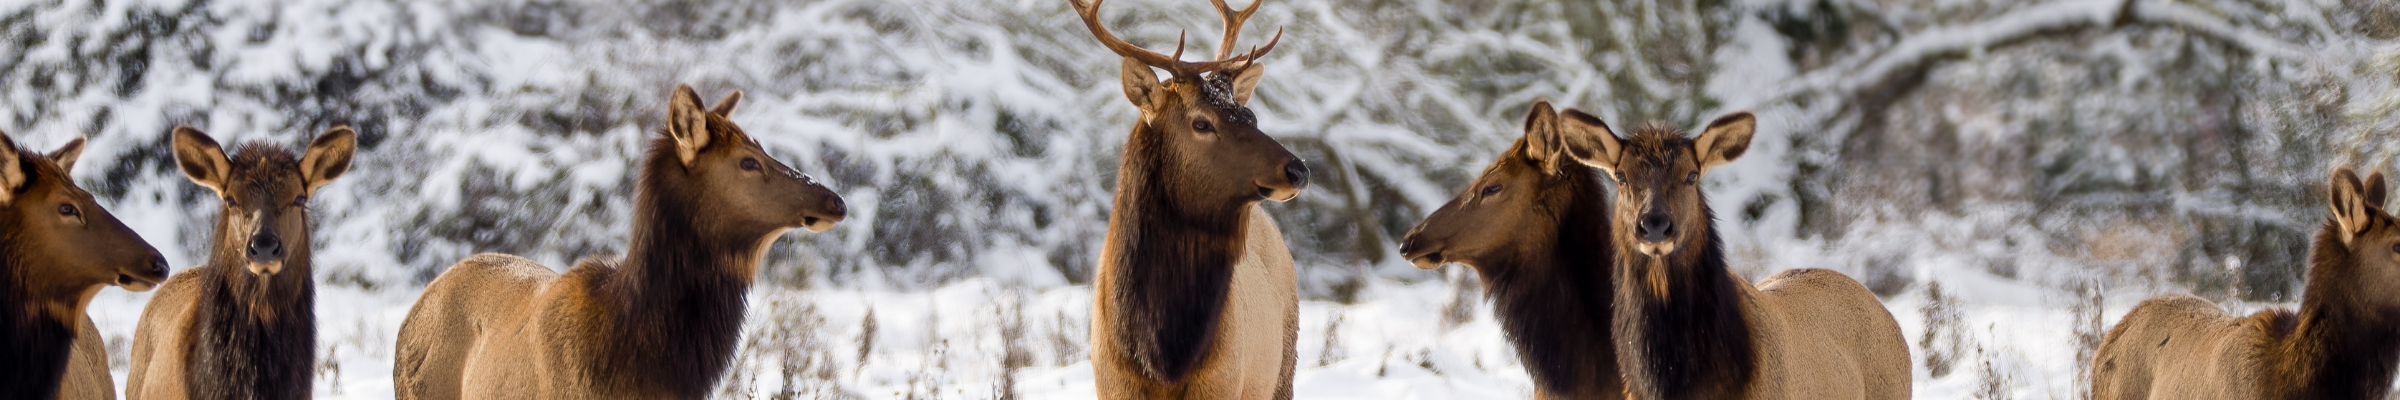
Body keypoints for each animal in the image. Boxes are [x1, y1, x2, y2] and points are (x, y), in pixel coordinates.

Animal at [1066, 0, 1311, 398]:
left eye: (1251, 115)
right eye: (1201, 123)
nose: (1299, 170)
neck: (1163, 356)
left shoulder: (1222, 381)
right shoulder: (1112, 381)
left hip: (1283, 368)